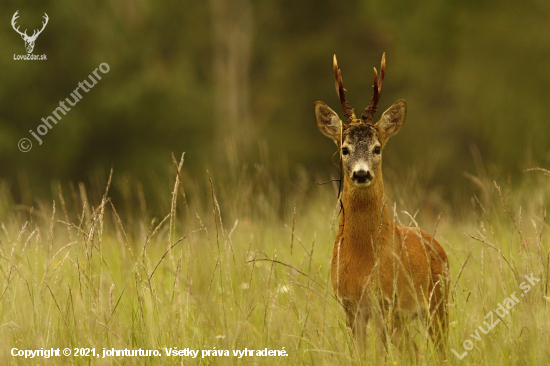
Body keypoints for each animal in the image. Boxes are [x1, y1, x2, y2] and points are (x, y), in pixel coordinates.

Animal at [316, 53, 450, 358]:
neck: (362, 262)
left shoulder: (385, 300)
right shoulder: (349, 305)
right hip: (406, 317)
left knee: (441, 348)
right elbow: (360, 354)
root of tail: (437, 245)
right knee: (412, 350)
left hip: (438, 301)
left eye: (377, 148)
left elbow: (381, 354)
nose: (361, 173)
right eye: (344, 149)